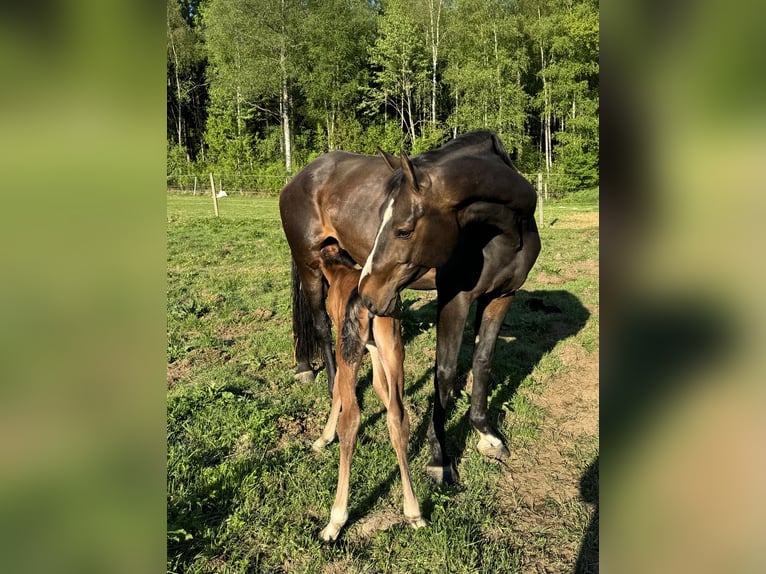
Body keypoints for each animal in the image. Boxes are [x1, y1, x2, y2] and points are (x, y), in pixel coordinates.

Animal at [280, 132, 544, 486]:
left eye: (403, 230)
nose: (368, 294)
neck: (505, 233)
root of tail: (300, 177)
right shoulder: (456, 298)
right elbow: (445, 372)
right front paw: (440, 458)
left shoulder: (502, 296)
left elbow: (483, 361)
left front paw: (486, 434)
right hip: (309, 265)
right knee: (321, 326)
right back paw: (331, 392)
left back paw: (306, 368)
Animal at [314, 245, 432, 544]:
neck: (339, 270)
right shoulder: (374, 347)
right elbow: (380, 387)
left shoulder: (344, 343)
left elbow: (337, 391)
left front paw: (323, 438)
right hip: (393, 346)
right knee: (398, 415)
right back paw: (414, 512)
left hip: (350, 347)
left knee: (351, 419)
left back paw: (335, 521)